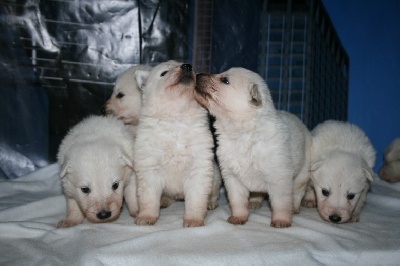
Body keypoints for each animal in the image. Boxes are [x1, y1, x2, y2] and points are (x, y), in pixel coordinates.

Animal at [134, 60, 216, 227]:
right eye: (163, 73)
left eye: (191, 67)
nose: (187, 66)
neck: (177, 117)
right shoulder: (150, 166)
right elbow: (148, 197)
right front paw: (146, 217)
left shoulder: (199, 166)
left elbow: (196, 198)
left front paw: (193, 220)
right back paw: (164, 201)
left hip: (216, 177)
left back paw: (211, 203)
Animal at [192, 67, 310, 228]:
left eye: (225, 80)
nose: (198, 74)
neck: (241, 132)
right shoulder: (232, 178)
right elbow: (237, 202)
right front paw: (238, 218)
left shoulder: (279, 179)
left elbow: (280, 203)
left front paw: (281, 221)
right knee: (257, 193)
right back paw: (254, 203)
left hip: (302, 173)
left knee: (297, 193)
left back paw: (295, 208)